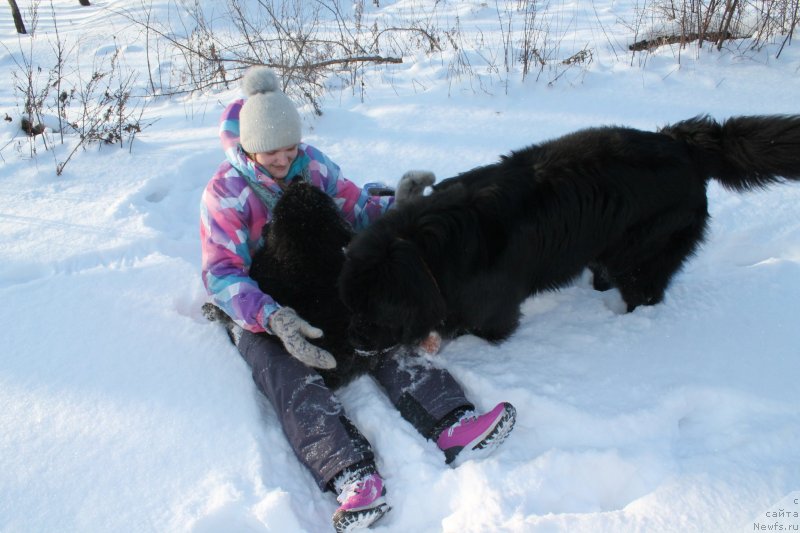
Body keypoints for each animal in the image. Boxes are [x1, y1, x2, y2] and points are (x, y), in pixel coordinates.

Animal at [338, 114, 800, 352]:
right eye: (350, 307)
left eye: (373, 313)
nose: (354, 344)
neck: (430, 251)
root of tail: (685, 145)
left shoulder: (494, 315)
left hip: (643, 253)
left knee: (645, 292)